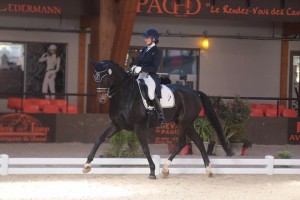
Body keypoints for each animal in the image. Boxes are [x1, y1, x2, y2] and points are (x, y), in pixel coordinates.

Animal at [83, 60, 233, 179]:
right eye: (95, 78)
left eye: (107, 78)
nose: (101, 100)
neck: (125, 95)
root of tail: (194, 92)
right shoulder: (116, 125)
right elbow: (99, 139)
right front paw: (87, 165)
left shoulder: (138, 127)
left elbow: (145, 148)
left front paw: (152, 172)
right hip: (186, 123)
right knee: (199, 142)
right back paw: (208, 170)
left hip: (184, 123)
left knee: (182, 143)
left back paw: (166, 168)